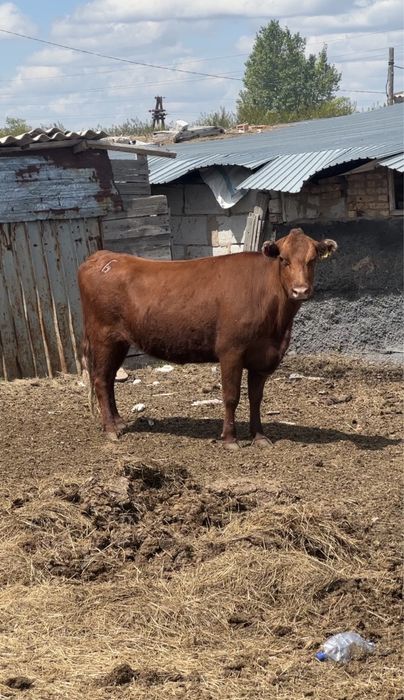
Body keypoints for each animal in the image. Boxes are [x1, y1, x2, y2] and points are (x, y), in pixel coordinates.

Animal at [78, 228, 337, 449]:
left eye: (312, 260)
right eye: (283, 259)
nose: (300, 290)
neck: (277, 326)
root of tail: (103, 256)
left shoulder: (263, 357)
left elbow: (256, 398)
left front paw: (260, 436)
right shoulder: (231, 351)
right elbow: (231, 396)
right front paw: (230, 439)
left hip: (119, 342)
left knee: (109, 379)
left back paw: (118, 422)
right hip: (104, 337)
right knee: (100, 380)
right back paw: (111, 429)